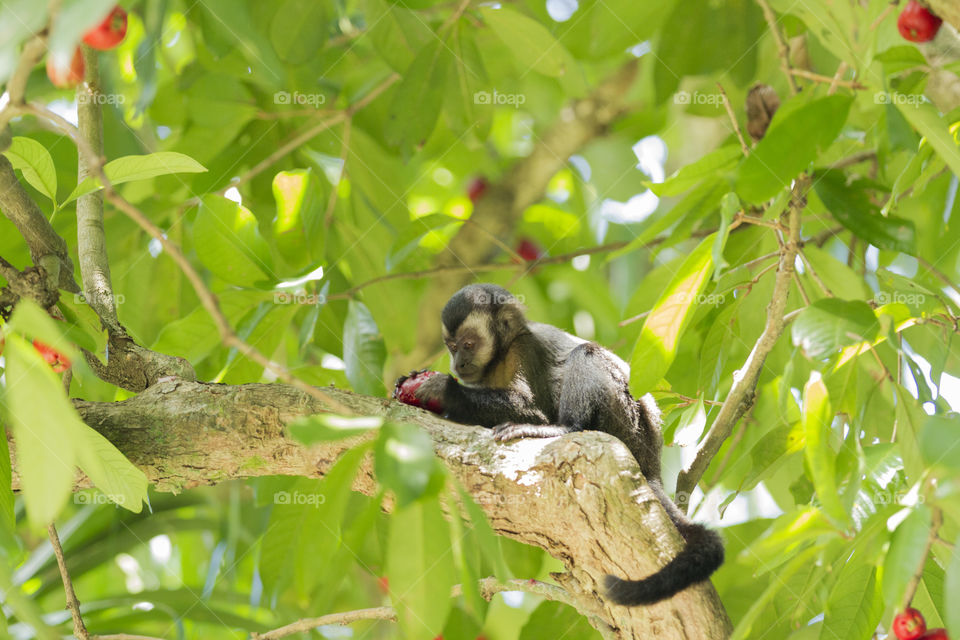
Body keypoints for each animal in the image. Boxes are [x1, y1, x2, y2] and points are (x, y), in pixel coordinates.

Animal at [396, 284, 720, 604]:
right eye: (452, 347)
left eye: (468, 344)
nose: (458, 364)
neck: (498, 360)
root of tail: (651, 462)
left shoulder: (524, 349)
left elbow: (535, 410)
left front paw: (444, 390)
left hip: (629, 424)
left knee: (587, 352)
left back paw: (565, 427)